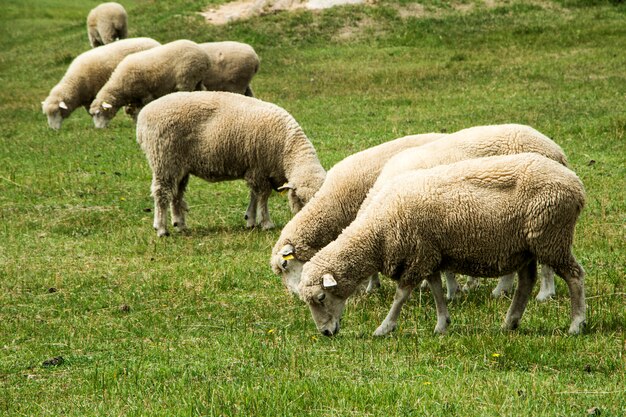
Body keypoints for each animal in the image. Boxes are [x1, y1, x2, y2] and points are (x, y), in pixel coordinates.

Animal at [134, 90, 324, 236]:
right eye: (300, 198)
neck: (287, 149)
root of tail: (143, 116)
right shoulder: (259, 169)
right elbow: (263, 196)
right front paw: (266, 223)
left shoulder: (254, 169)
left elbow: (254, 195)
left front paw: (250, 219)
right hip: (163, 161)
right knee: (161, 193)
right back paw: (161, 228)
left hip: (179, 167)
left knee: (176, 193)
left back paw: (179, 224)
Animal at [298, 153, 584, 338]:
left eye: (321, 297)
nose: (325, 333)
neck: (377, 231)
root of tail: (576, 184)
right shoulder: (428, 254)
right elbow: (436, 290)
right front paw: (442, 325)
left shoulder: (417, 256)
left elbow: (401, 295)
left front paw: (384, 327)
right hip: (527, 246)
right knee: (526, 281)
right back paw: (510, 323)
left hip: (551, 237)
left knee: (574, 276)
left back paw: (576, 324)